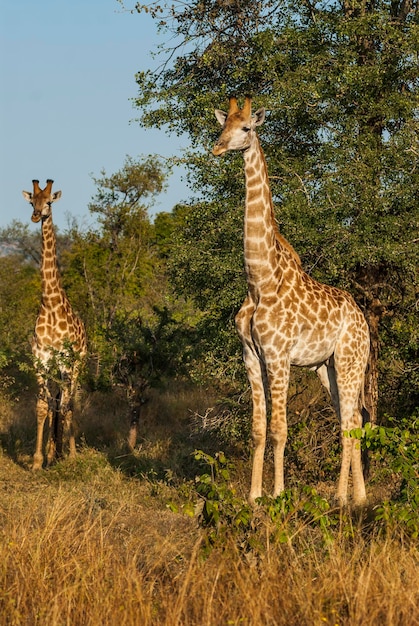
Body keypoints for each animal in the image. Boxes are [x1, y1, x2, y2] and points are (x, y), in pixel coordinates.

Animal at [213, 98, 370, 508]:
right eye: (222, 125)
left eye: (246, 128)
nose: (217, 147)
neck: (260, 281)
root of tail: (363, 320)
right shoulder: (251, 356)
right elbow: (257, 429)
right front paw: (254, 497)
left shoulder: (279, 355)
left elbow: (280, 429)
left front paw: (278, 494)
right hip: (326, 367)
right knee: (352, 420)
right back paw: (359, 498)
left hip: (350, 361)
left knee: (350, 423)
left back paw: (340, 497)